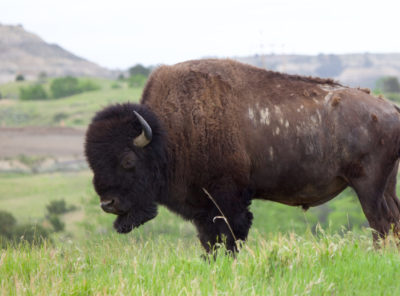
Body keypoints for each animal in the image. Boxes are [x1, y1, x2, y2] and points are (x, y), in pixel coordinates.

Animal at [84, 58, 400, 252]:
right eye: (92, 162)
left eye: (128, 161)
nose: (108, 204)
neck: (169, 132)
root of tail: (390, 108)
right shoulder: (203, 209)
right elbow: (210, 242)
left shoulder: (227, 200)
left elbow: (229, 238)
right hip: (386, 185)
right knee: (392, 221)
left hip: (367, 186)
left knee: (379, 223)